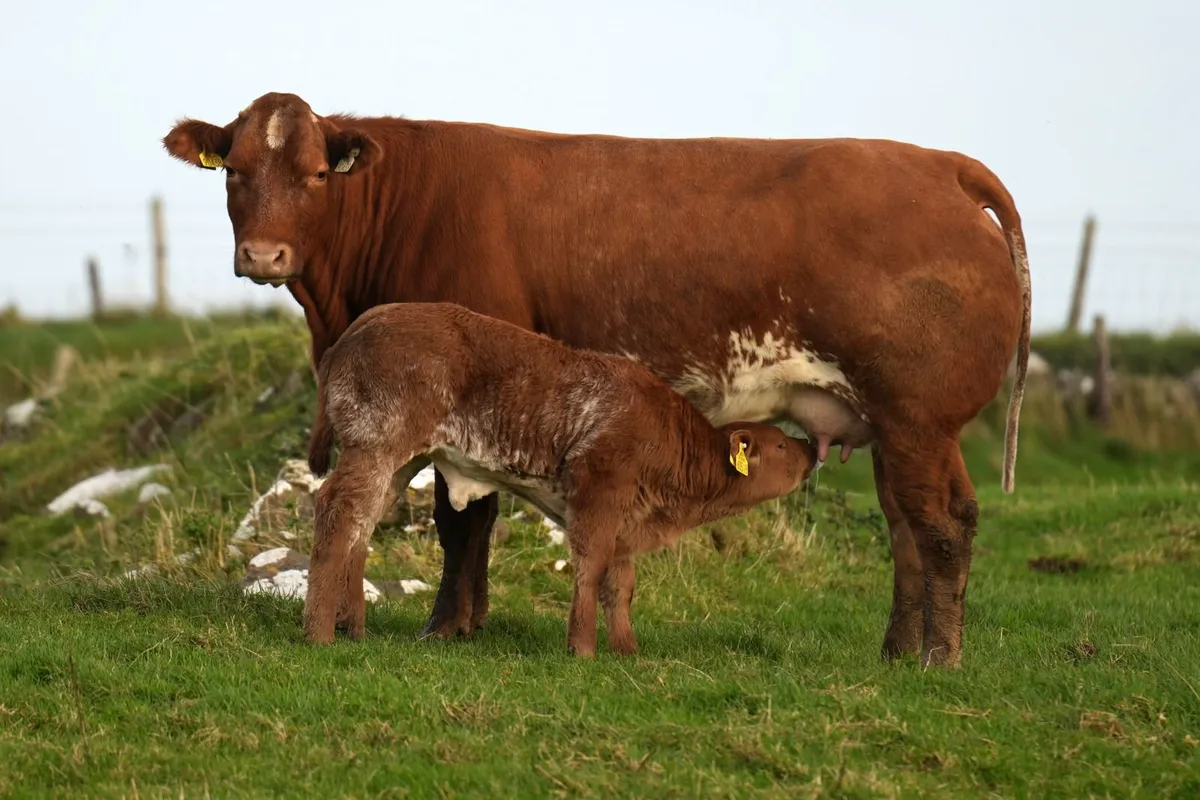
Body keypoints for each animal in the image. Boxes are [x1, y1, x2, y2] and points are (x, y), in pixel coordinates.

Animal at [304, 301, 818, 656]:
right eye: (779, 445)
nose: (812, 448)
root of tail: (361, 325)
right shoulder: (598, 490)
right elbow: (590, 569)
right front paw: (583, 648)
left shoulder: (625, 518)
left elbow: (620, 583)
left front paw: (626, 650)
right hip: (376, 443)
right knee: (339, 512)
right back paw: (319, 633)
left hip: (399, 459)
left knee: (363, 526)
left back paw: (354, 628)